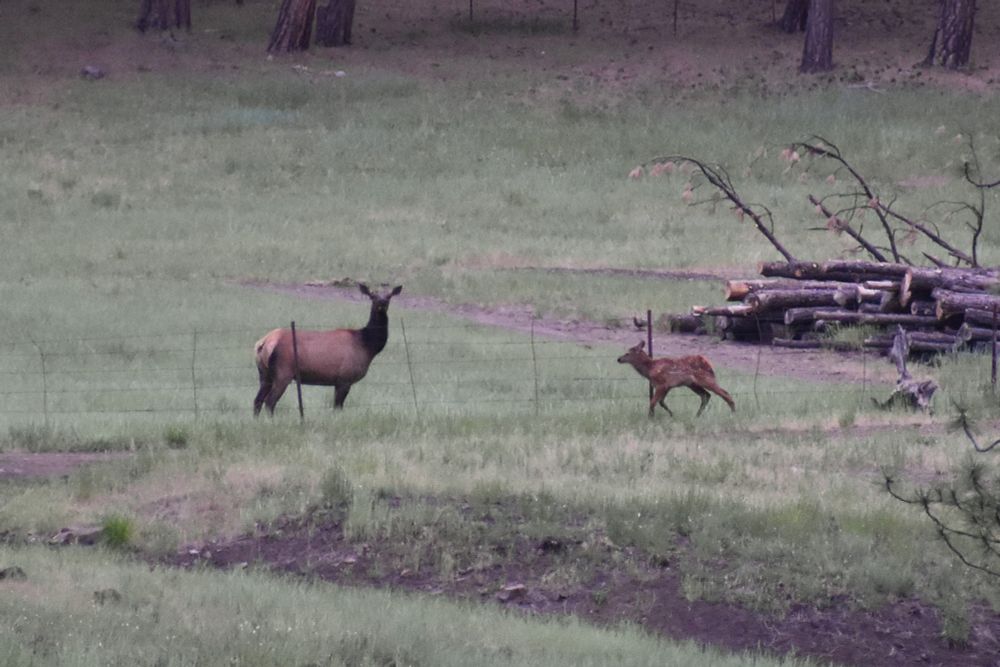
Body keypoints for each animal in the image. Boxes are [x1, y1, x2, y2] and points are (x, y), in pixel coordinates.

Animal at [253, 283, 402, 416]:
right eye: (372, 296)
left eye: (389, 296)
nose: (382, 302)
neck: (367, 346)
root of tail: (264, 343)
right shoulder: (345, 377)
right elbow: (338, 407)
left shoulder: (338, 381)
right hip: (283, 372)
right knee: (269, 402)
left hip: (264, 373)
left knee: (257, 400)